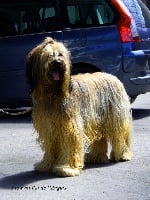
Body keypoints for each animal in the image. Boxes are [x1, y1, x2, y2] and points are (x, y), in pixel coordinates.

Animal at [26, 37, 132, 177]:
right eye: (49, 55)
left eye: (61, 54)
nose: (58, 63)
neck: (54, 94)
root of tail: (114, 77)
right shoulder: (49, 127)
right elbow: (50, 146)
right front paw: (46, 164)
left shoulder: (70, 126)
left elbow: (70, 144)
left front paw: (66, 168)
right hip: (97, 120)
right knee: (101, 137)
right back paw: (97, 156)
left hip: (115, 117)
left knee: (120, 134)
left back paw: (124, 154)